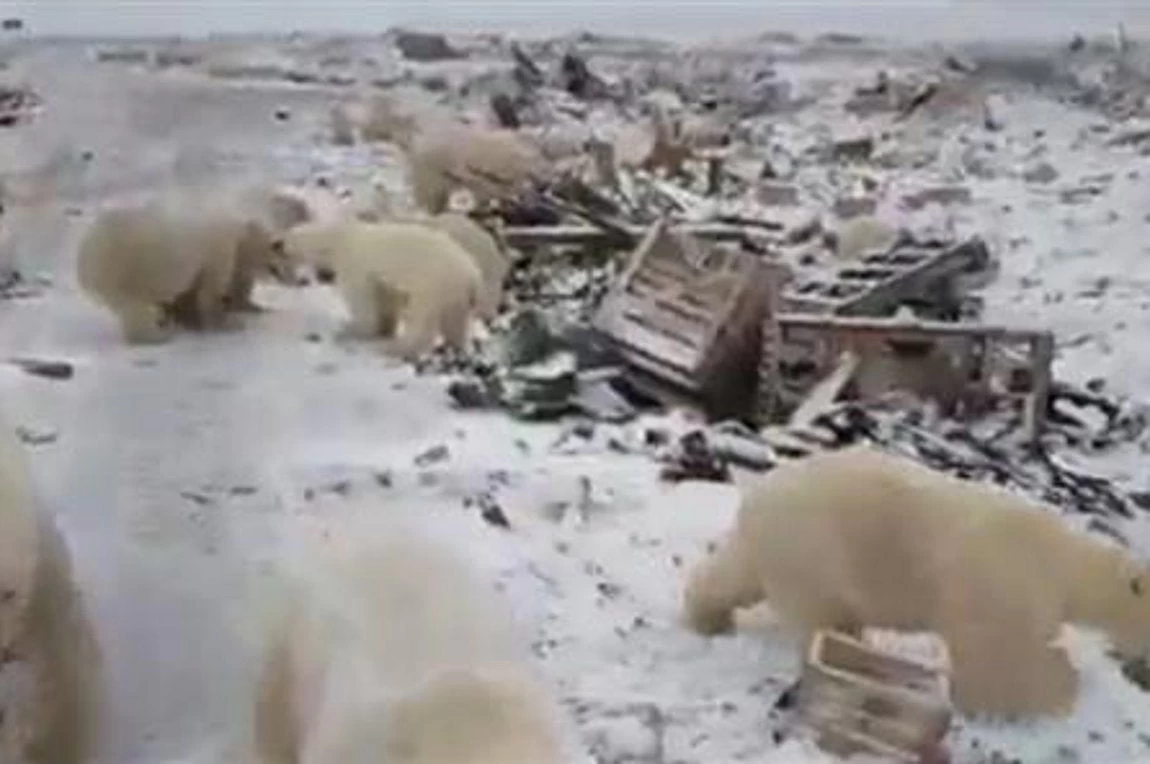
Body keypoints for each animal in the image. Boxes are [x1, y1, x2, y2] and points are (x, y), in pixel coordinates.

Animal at [280, 217, 483, 361]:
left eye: (287, 240)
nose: (278, 243)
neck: (340, 238)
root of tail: (472, 276)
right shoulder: (381, 280)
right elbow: (385, 298)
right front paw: (385, 328)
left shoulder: (355, 265)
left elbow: (362, 300)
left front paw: (352, 329)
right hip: (456, 294)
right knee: (457, 321)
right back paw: (459, 346)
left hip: (434, 284)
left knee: (422, 320)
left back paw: (394, 349)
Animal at [676, 444, 1150, 717]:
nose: (1139, 665)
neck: (1061, 561)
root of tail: (758, 490)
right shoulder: (1003, 586)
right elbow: (1000, 657)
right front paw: (1062, 691)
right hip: (816, 548)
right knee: (824, 616)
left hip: (782, 547)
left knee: (736, 573)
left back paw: (709, 617)